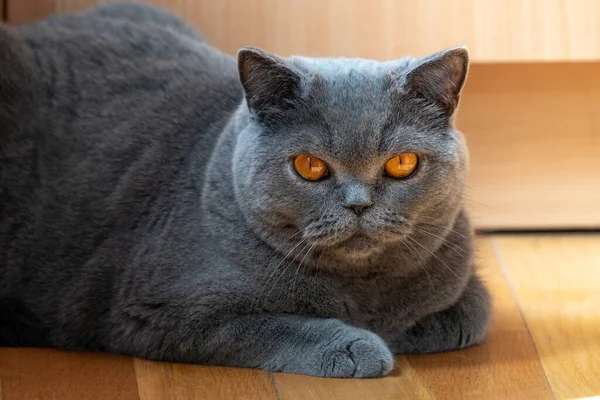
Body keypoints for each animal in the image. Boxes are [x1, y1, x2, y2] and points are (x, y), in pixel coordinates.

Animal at [0, 3, 490, 378]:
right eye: (310, 166)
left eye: (401, 164)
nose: (358, 204)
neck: (356, 288)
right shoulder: (158, 311)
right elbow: (266, 326)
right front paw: (358, 345)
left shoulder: (465, 283)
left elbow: (470, 314)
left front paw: (393, 327)